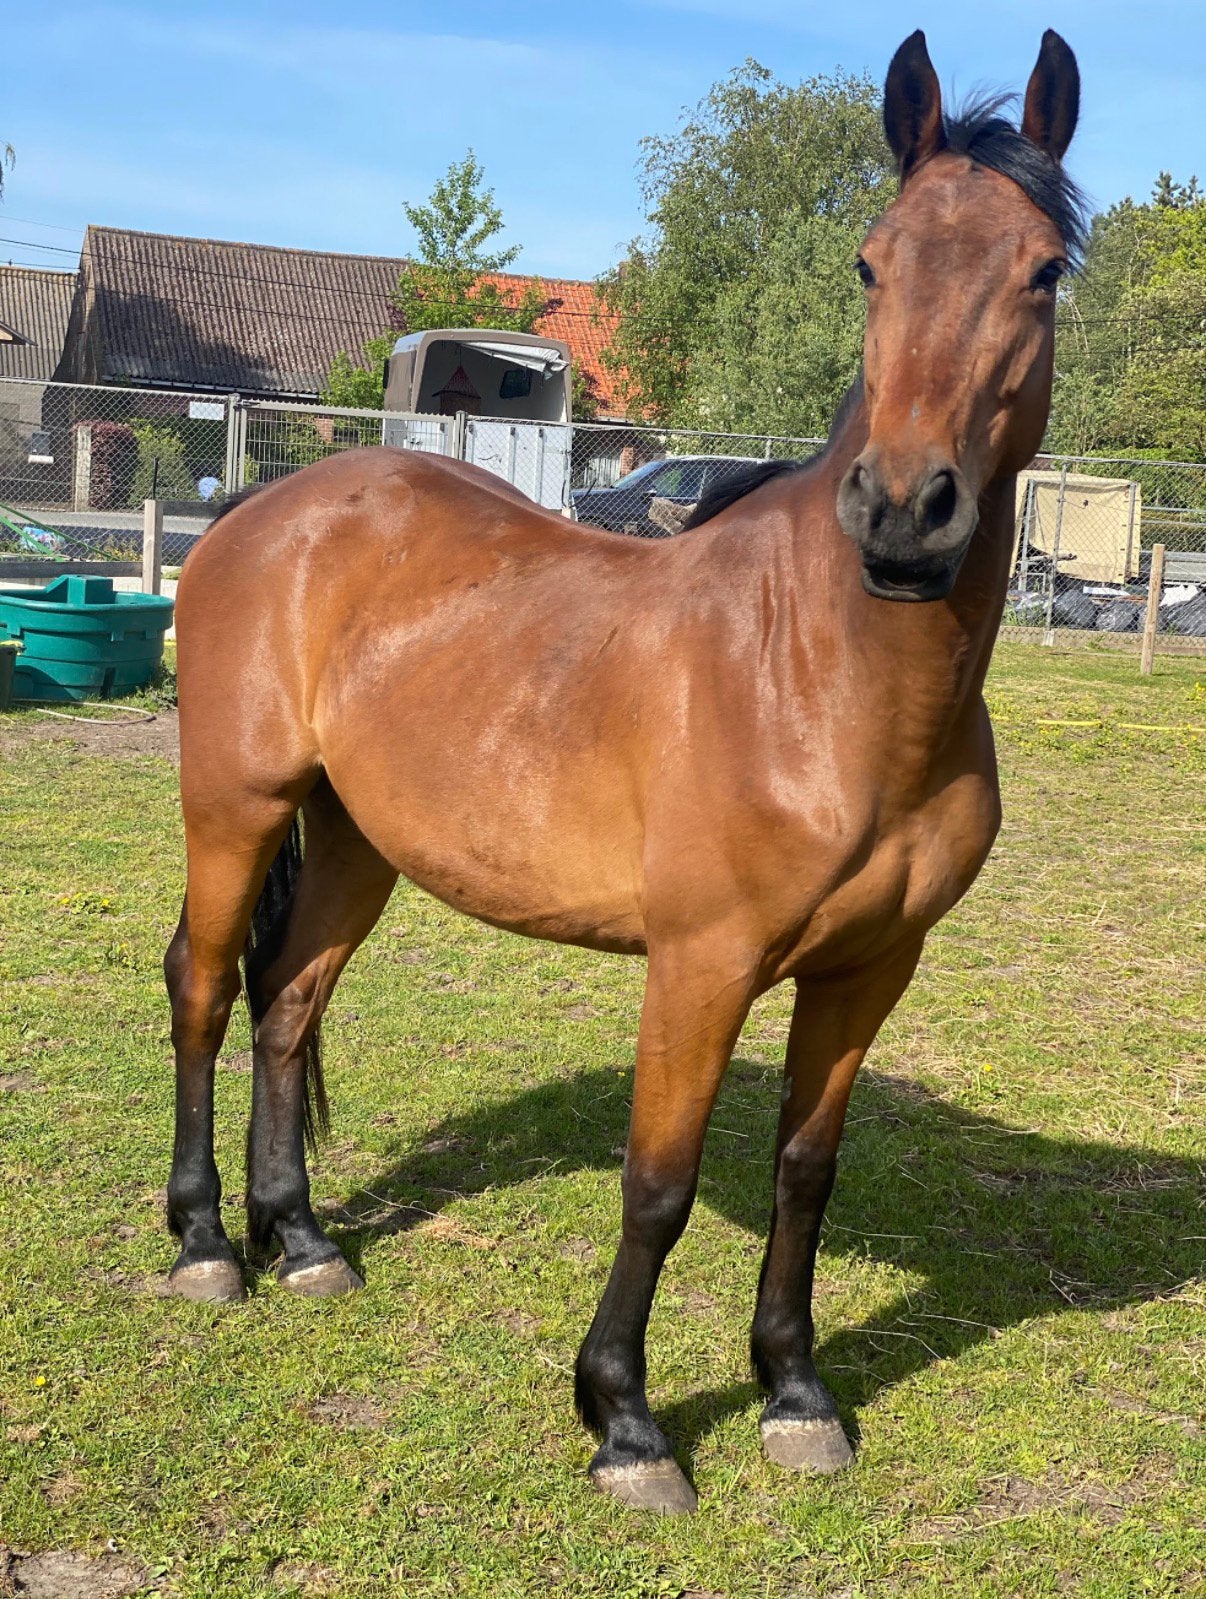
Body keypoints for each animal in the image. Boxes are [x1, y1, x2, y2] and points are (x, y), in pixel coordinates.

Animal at [163, 30, 1085, 1515]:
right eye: (870, 263)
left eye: (1042, 270)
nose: (902, 513)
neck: (824, 679)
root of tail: (269, 509)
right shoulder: (701, 964)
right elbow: (657, 1184)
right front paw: (628, 1421)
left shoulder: (868, 968)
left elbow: (806, 1169)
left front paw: (796, 1395)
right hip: (234, 809)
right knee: (201, 989)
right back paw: (202, 1246)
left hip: (360, 841)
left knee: (288, 1003)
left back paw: (298, 1240)